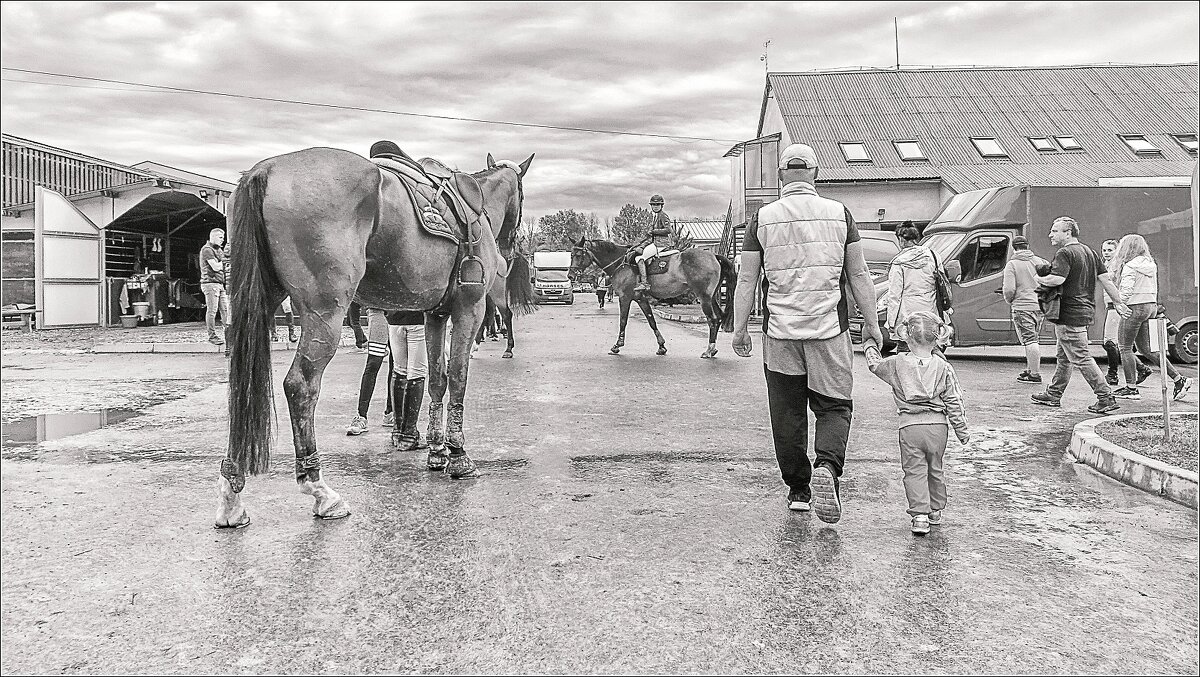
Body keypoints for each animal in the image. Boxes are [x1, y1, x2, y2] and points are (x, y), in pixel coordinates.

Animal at [217, 148, 535, 528]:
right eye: (522, 195)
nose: (509, 250)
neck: (476, 203)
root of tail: (266, 168)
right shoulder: (468, 309)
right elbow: (458, 379)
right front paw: (458, 455)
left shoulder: (434, 315)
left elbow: (437, 381)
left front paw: (437, 450)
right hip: (325, 313)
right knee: (300, 386)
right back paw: (319, 489)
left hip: (259, 304)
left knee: (243, 384)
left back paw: (231, 496)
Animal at [568, 240, 734, 362]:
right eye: (571, 255)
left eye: (579, 254)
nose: (570, 275)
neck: (621, 263)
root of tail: (714, 256)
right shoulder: (640, 298)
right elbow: (651, 320)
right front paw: (661, 347)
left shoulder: (625, 297)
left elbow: (623, 321)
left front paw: (617, 345)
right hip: (711, 298)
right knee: (718, 317)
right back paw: (713, 349)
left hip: (704, 297)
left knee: (712, 319)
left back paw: (709, 350)